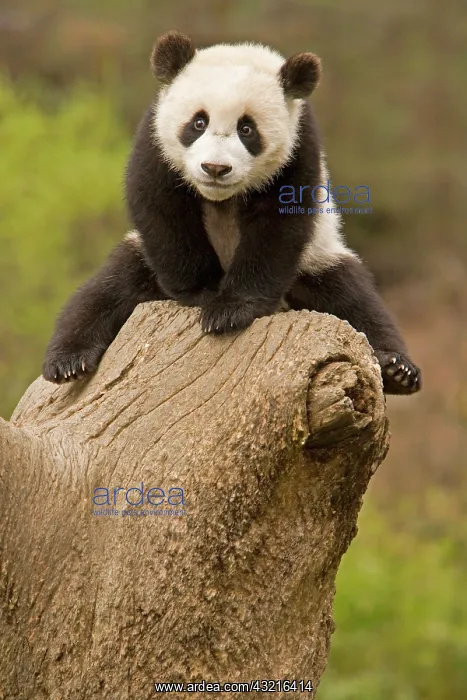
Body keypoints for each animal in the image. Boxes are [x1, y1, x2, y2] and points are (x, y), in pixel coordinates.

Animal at [42, 30, 421, 395]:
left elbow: (278, 228)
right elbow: (161, 210)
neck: (220, 198)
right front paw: (204, 293)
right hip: (140, 262)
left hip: (316, 259)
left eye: (247, 129)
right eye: (198, 123)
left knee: (352, 298)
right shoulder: (155, 141)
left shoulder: (299, 150)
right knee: (104, 293)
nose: (215, 168)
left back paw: (397, 369)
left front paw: (229, 310)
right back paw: (68, 361)